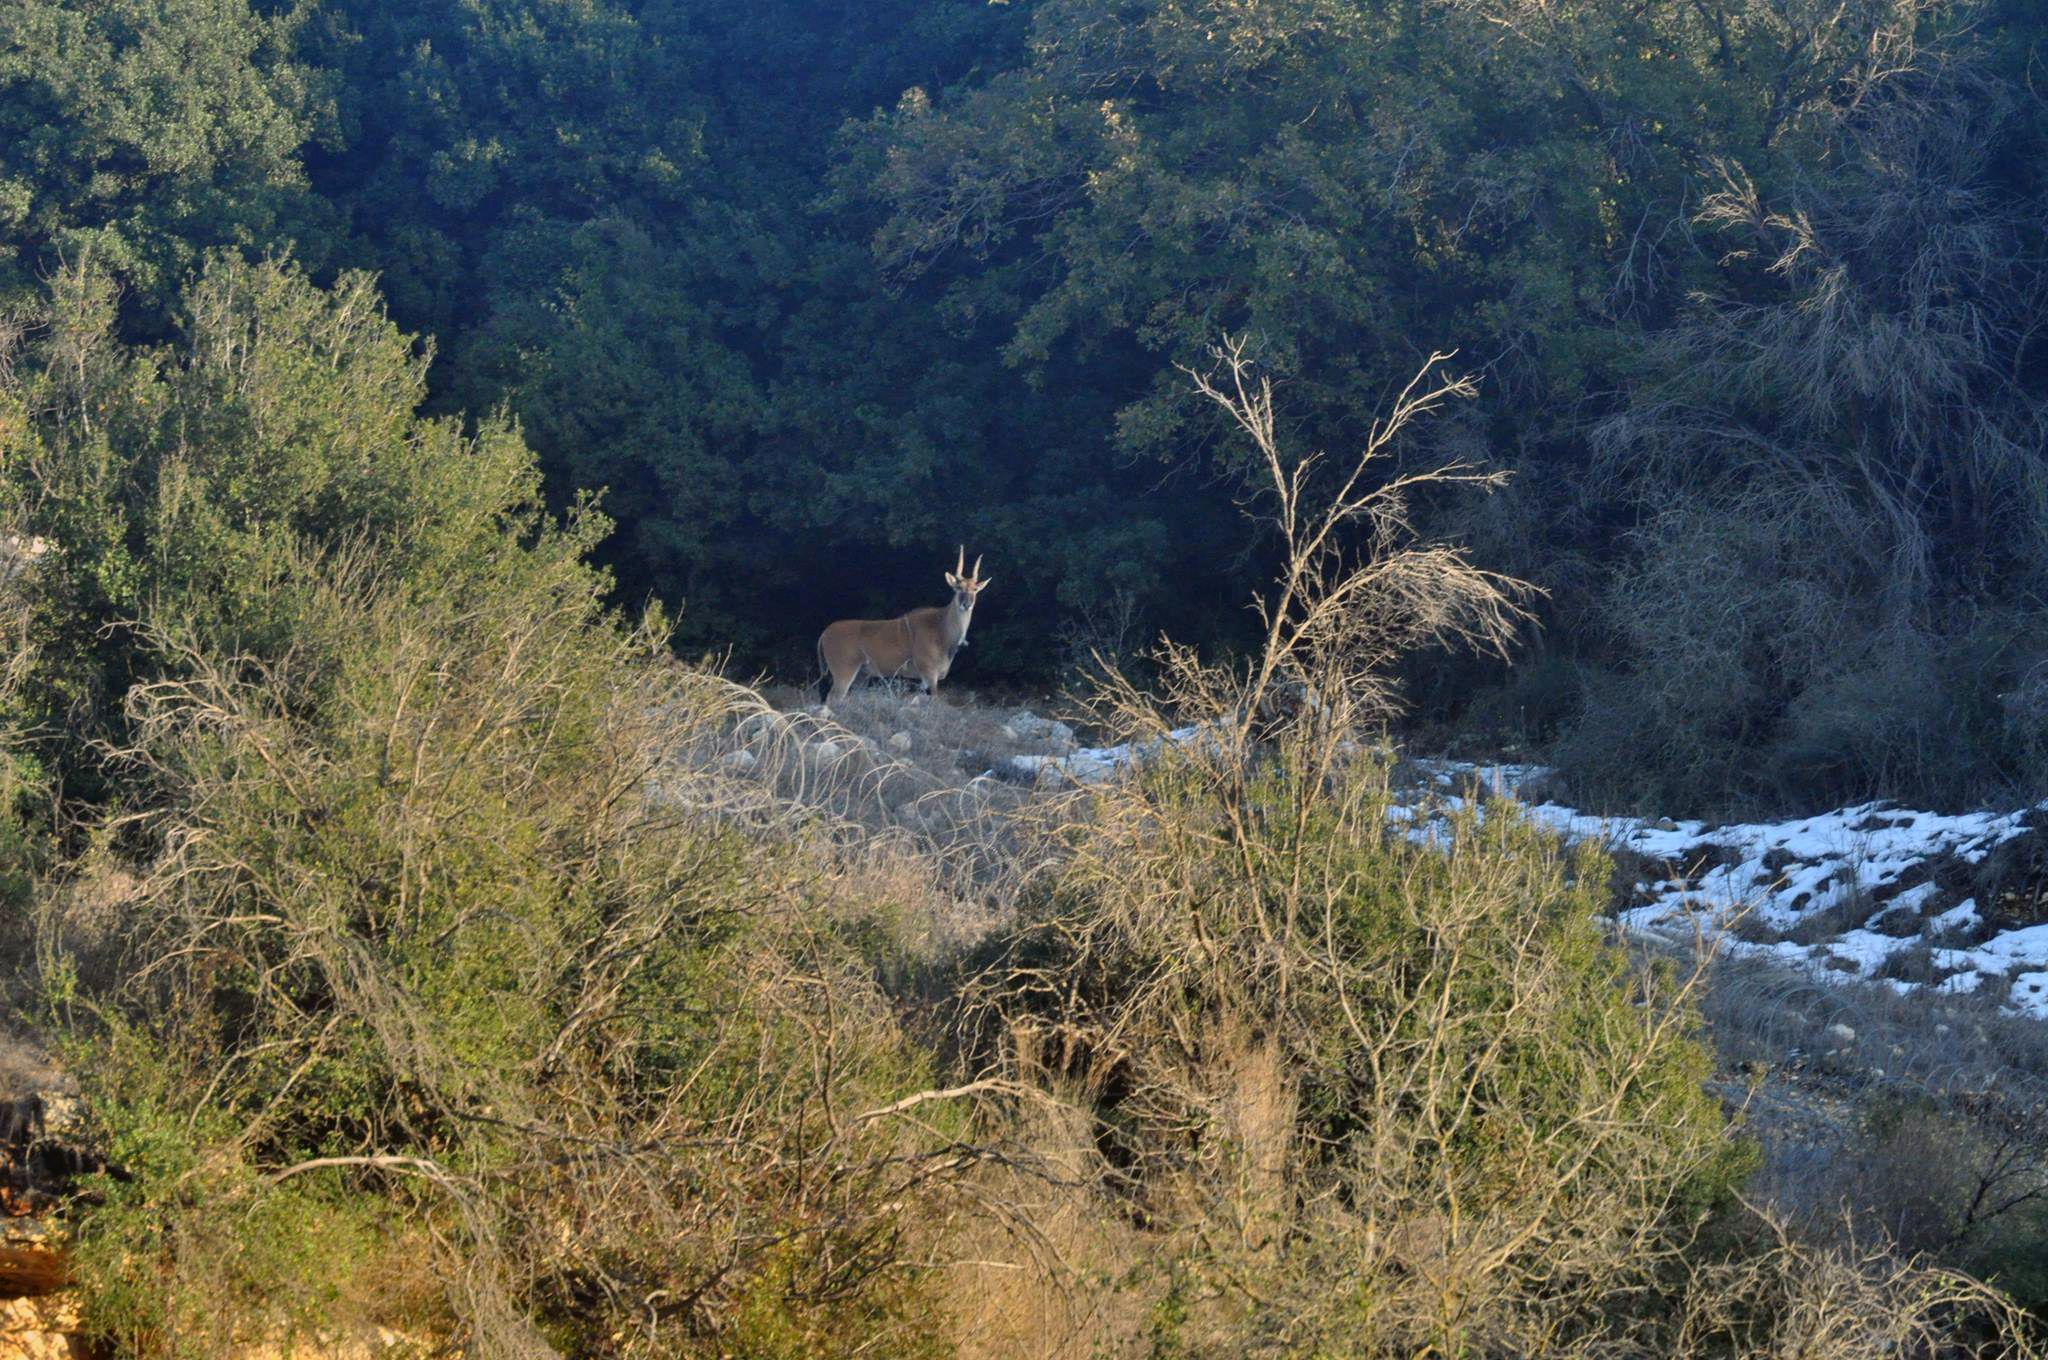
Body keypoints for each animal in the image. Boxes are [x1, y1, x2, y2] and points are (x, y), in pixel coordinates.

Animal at [815, 548, 991, 712]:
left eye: (975, 589)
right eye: (958, 587)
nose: (967, 604)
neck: (941, 629)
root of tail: (824, 634)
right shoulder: (929, 674)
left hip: (860, 675)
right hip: (844, 672)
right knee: (832, 698)